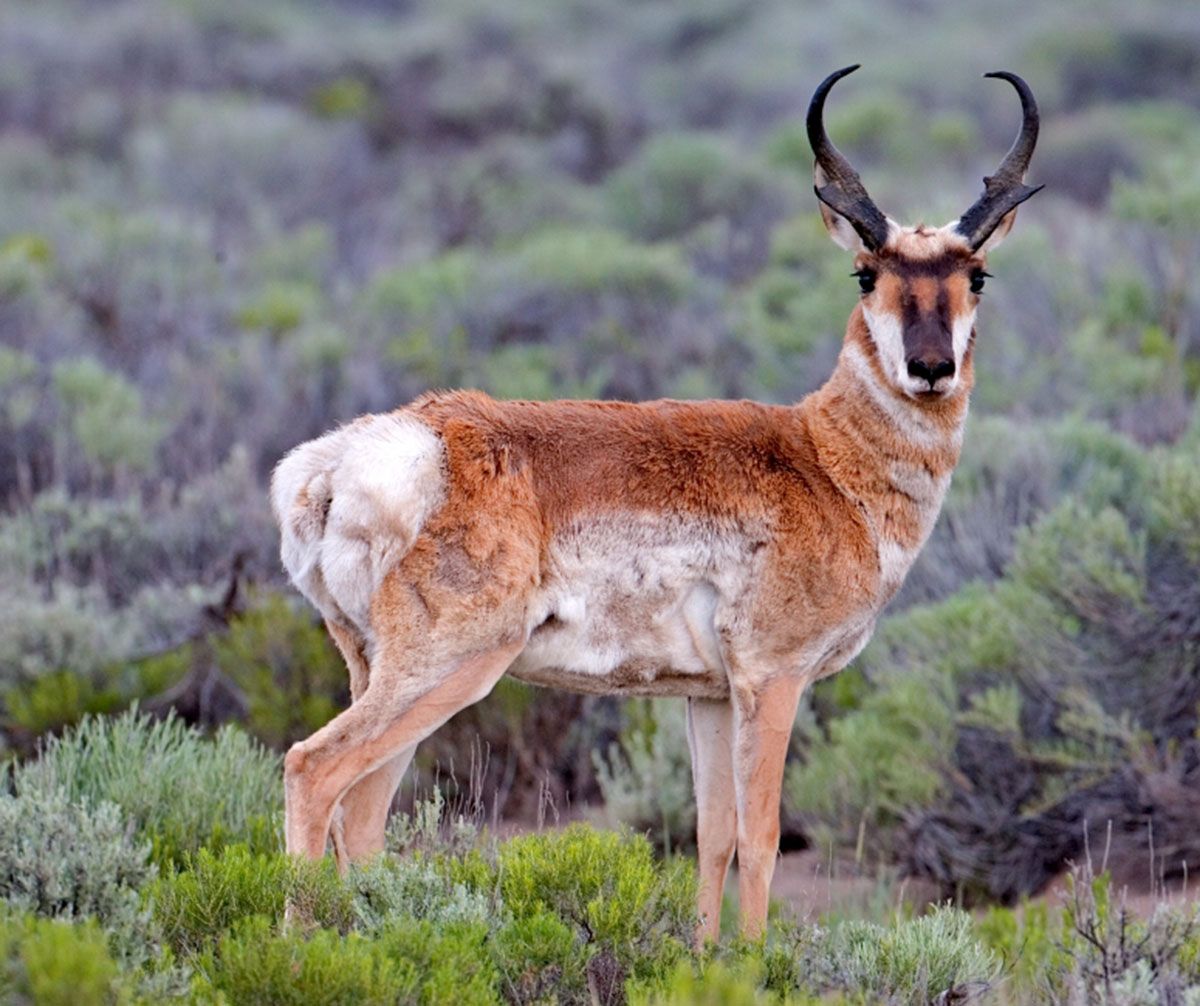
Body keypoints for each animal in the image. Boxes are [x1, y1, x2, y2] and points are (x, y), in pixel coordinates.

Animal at [272, 66, 1041, 941]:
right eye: (866, 273)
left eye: (975, 276)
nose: (930, 367)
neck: (822, 458)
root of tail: (359, 456)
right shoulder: (773, 679)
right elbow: (763, 838)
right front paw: (758, 959)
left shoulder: (707, 697)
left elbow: (714, 837)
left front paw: (706, 956)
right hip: (449, 668)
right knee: (314, 770)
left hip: (382, 670)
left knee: (360, 814)